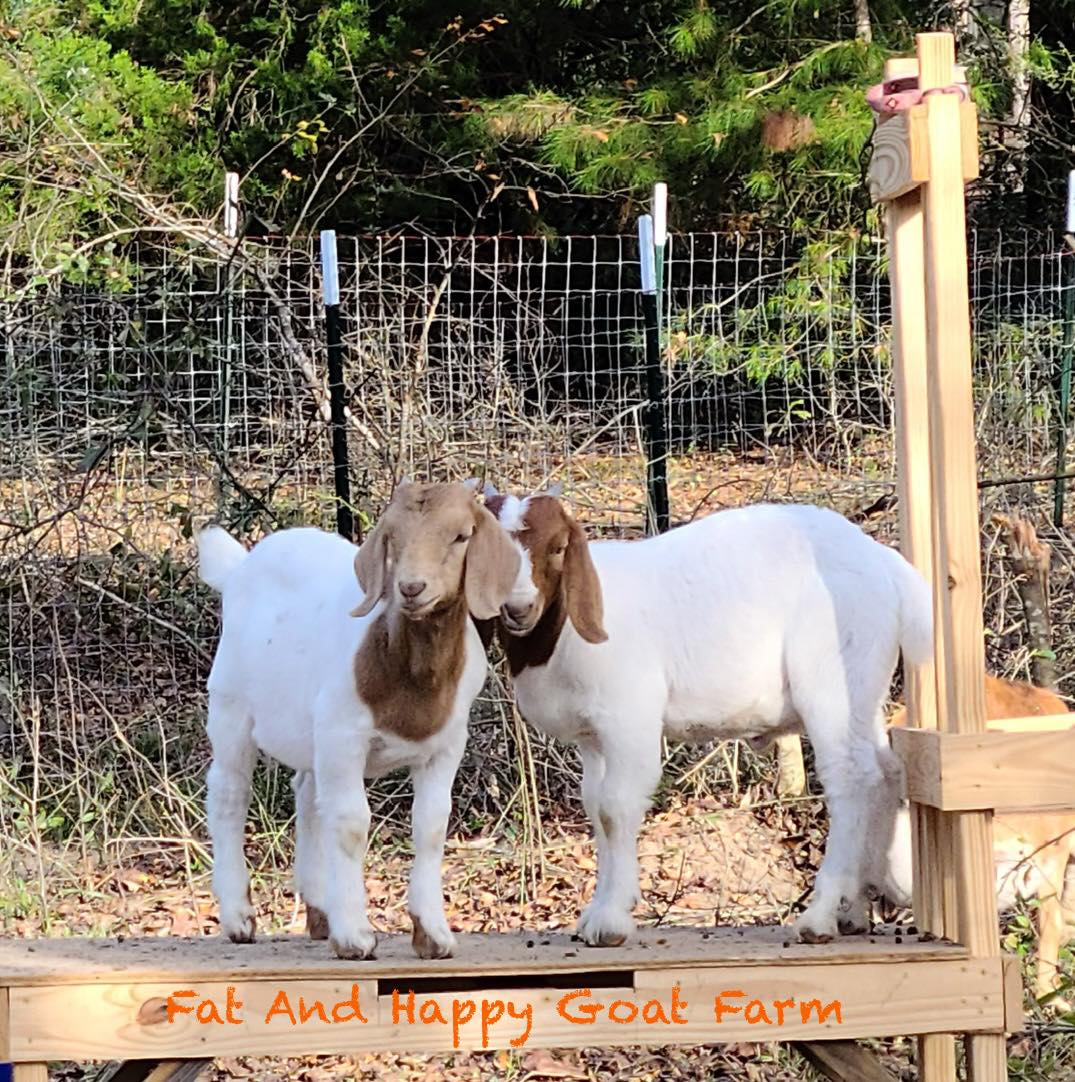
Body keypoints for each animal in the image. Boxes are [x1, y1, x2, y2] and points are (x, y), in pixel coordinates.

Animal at [196, 481, 519, 960]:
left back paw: (319, 911)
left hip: (308, 733)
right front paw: (354, 936)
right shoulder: (343, 735)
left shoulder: (445, 745)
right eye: (392, 537)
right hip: (231, 703)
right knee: (229, 793)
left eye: (461, 536)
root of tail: (239, 567)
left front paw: (433, 934)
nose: (411, 587)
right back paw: (239, 917)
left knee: (307, 793)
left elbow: (430, 825)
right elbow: (351, 823)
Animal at [482, 484, 932, 945]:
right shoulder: (593, 739)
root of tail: (883, 561)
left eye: (558, 547)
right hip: (864, 689)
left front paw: (610, 920)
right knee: (884, 770)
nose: (519, 608)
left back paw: (820, 916)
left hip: (834, 678)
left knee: (851, 778)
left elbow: (614, 807)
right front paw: (596, 912)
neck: (562, 635)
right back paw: (854, 909)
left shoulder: (628, 718)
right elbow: (594, 807)